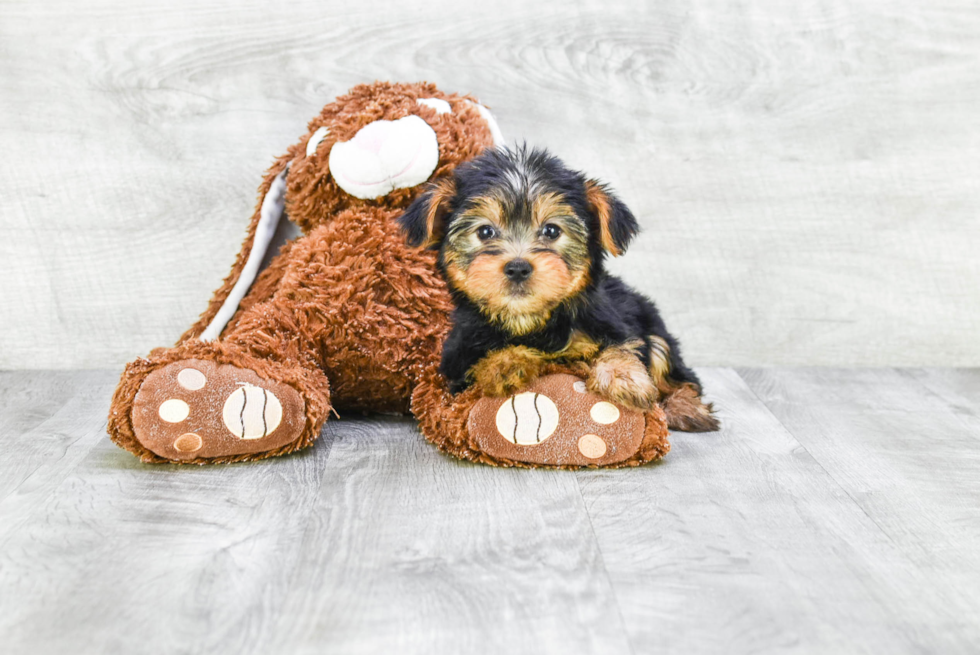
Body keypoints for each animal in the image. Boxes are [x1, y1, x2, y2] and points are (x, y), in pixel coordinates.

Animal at [398, 146, 720, 434]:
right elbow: (482, 362)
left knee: (674, 368)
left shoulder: (614, 324)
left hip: (653, 328)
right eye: (485, 232)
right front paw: (504, 364)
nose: (518, 267)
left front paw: (623, 379)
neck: (530, 320)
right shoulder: (459, 359)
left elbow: (620, 346)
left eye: (552, 230)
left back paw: (685, 408)